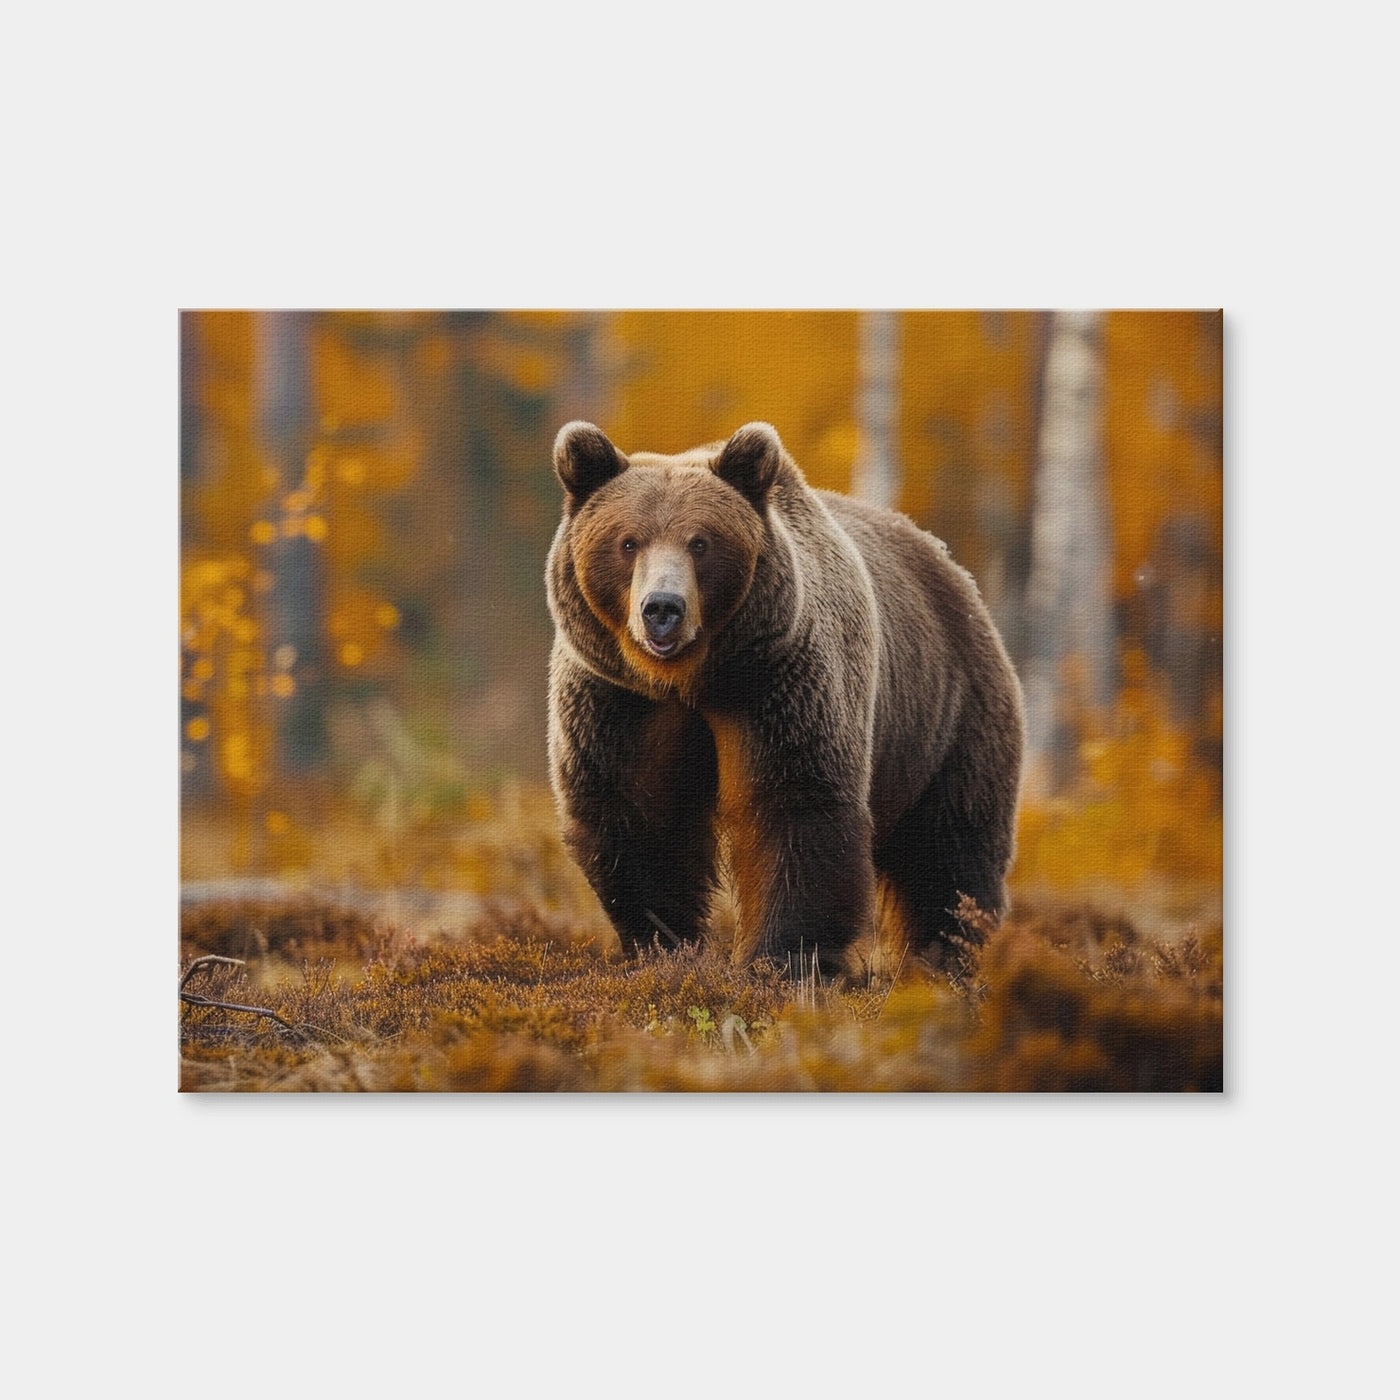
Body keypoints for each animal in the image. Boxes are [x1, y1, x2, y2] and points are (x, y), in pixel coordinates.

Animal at [545, 419, 1024, 975]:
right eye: (627, 542)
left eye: (701, 542)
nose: (662, 608)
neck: (692, 678)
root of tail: (949, 565)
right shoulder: (621, 702)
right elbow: (637, 815)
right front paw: (665, 944)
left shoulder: (778, 683)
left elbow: (794, 804)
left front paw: (783, 957)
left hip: (950, 713)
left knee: (951, 845)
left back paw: (946, 954)